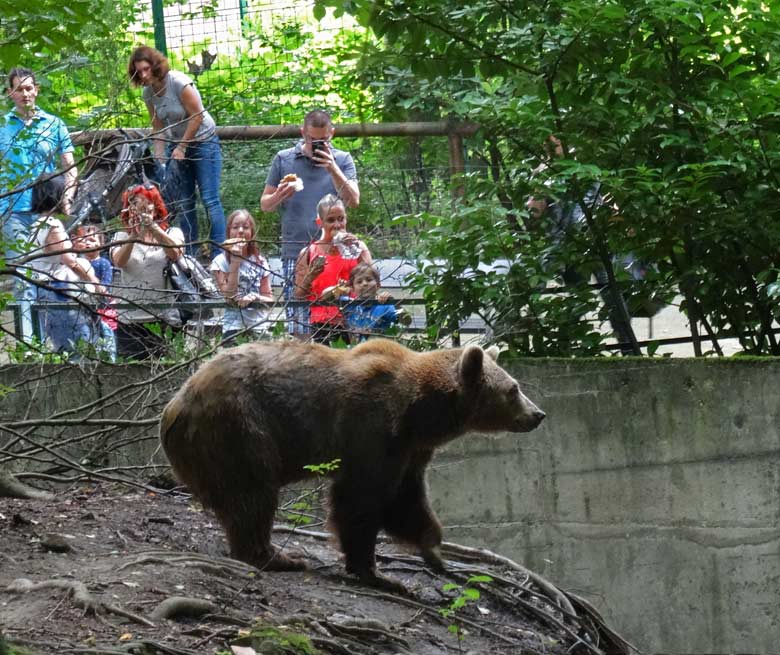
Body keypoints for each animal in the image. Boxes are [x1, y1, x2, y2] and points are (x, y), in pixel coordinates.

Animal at [161, 338, 544, 588]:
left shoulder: (409, 450)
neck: (420, 412)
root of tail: (175, 405)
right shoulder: (371, 428)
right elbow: (360, 498)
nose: (538, 414)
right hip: (240, 424)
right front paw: (375, 571)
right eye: (513, 389)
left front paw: (434, 550)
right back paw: (277, 557)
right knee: (253, 493)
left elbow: (405, 500)